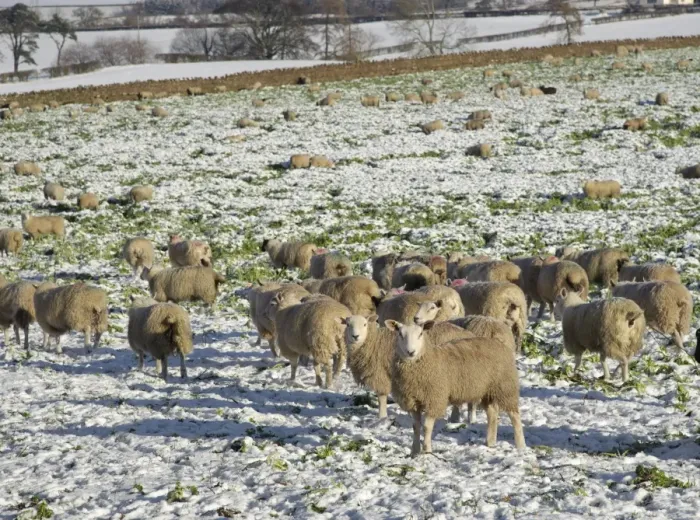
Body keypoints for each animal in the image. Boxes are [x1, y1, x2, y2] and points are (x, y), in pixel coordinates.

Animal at [344, 315, 475, 419]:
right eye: (348, 325)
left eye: (364, 324)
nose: (355, 336)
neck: (373, 341)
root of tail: (468, 333)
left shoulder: (379, 373)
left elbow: (381, 397)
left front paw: (382, 416)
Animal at [388, 320, 525, 455]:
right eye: (400, 334)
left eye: (421, 334)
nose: (411, 352)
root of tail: (499, 342)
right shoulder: (413, 401)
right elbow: (415, 427)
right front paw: (414, 452)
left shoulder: (435, 399)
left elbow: (427, 427)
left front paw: (427, 450)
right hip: (487, 390)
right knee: (492, 413)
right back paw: (490, 442)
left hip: (506, 387)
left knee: (515, 416)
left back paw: (520, 445)